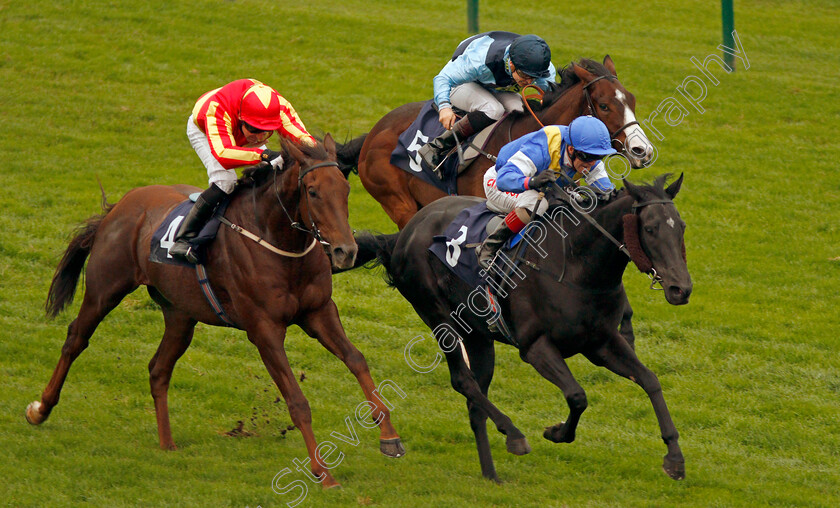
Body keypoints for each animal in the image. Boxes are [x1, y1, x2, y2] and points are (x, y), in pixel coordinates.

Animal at [25, 135, 404, 488]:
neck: (278, 242)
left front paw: (389, 437)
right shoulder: (264, 330)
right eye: (312, 192)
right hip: (105, 289)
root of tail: (122, 205)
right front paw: (323, 473)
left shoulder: (319, 312)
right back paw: (40, 409)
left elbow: (357, 360)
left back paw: (167, 443)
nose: (345, 251)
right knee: (76, 338)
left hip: (180, 315)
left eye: (346, 189)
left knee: (158, 369)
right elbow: (297, 401)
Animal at [352, 174, 692, 480]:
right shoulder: (535, 346)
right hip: (439, 318)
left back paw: (491, 475)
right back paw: (513, 434)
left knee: (475, 400)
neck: (576, 264)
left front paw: (674, 457)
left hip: (479, 336)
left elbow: (650, 380)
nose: (681, 289)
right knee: (463, 381)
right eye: (650, 229)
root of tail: (403, 233)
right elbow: (577, 395)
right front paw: (556, 432)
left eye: (682, 226)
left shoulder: (601, 343)